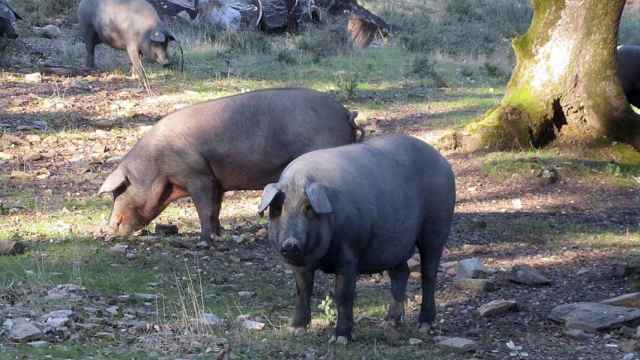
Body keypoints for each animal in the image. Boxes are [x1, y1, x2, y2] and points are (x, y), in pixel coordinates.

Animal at [98, 87, 362, 245]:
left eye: (119, 190)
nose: (110, 228)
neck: (157, 167)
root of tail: (346, 115)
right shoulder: (216, 181)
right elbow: (215, 208)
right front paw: (218, 233)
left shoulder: (198, 176)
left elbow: (204, 208)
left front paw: (205, 240)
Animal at [258, 134, 458, 342]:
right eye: (278, 208)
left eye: (308, 208)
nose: (290, 243)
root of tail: (442, 160)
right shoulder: (300, 263)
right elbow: (303, 290)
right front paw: (296, 330)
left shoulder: (350, 252)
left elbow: (343, 295)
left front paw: (340, 339)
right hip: (395, 245)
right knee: (402, 272)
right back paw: (389, 323)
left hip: (437, 225)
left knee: (429, 273)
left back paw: (424, 326)